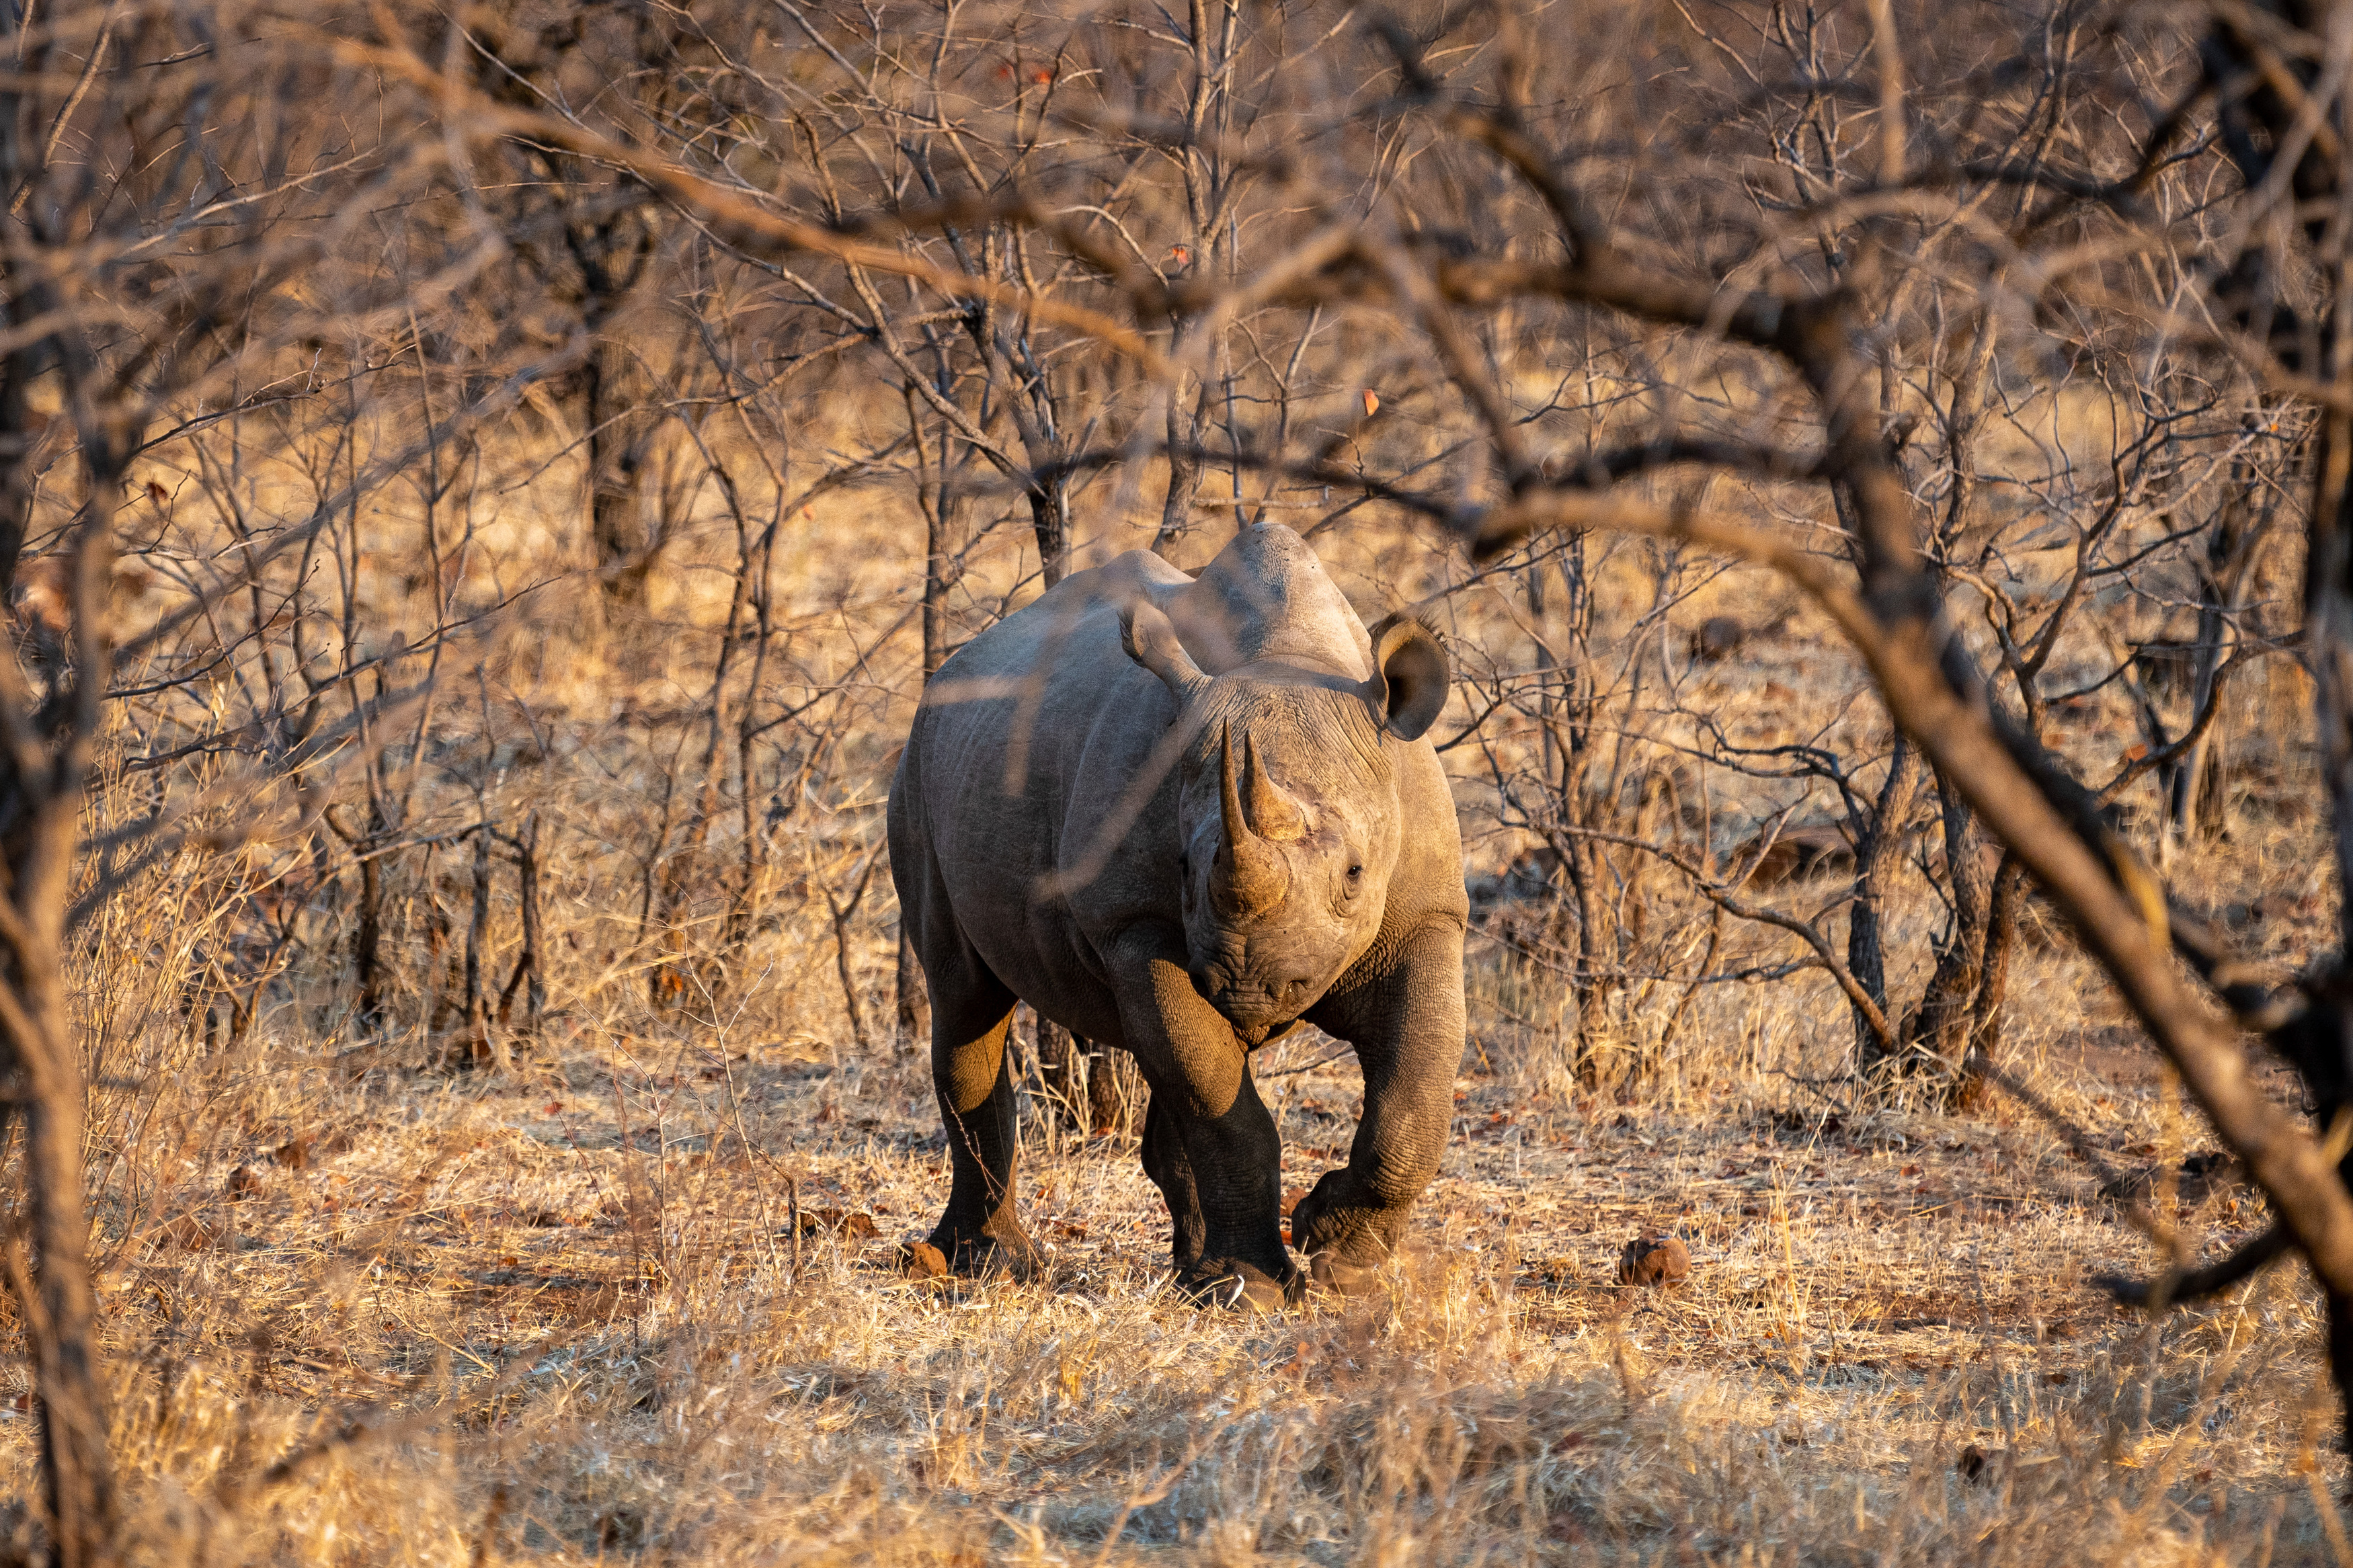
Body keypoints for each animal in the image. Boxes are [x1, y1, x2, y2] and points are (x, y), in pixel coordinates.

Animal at [887, 522, 1467, 1308]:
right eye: (1186, 868)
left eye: (1353, 874)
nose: (1251, 987)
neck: (1293, 657)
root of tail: (950, 669)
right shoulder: (1134, 925)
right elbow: (1222, 1104)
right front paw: (1260, 1289)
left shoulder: (1428, 916)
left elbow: (1414, 1099)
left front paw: (1342, 1263)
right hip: (917, 767)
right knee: (964, 995)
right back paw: (990, 1265)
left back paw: (1193, 1276)